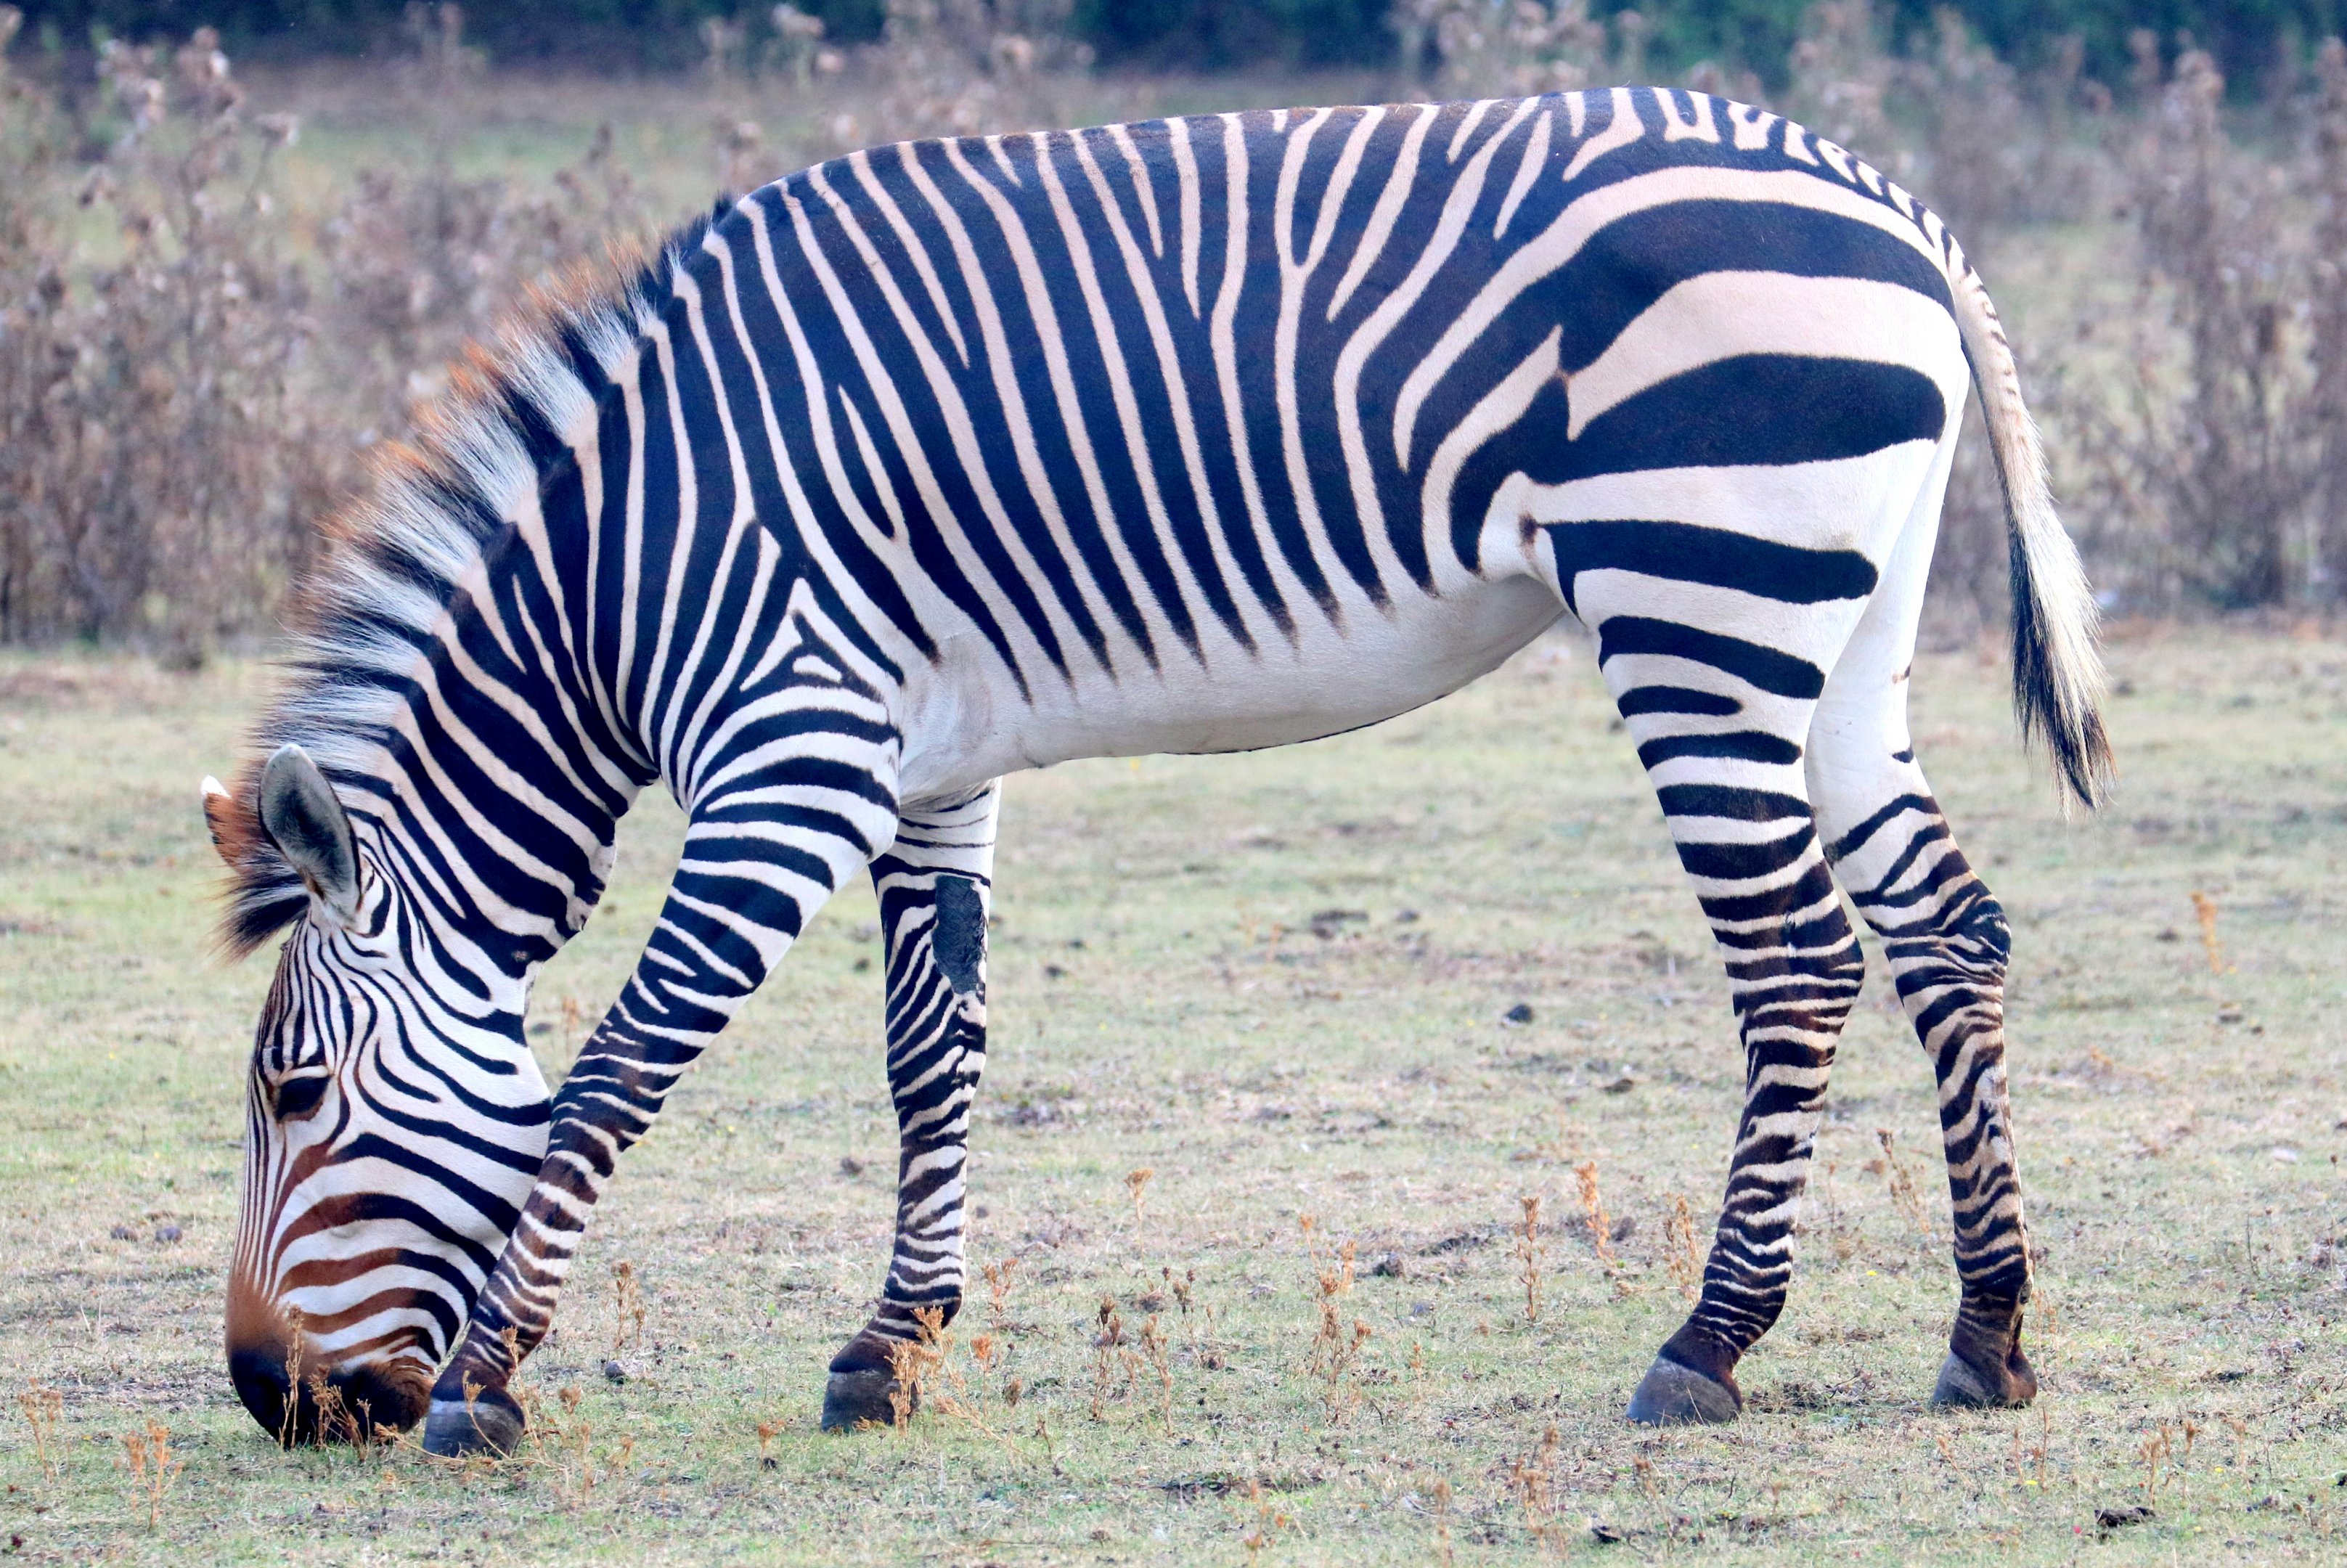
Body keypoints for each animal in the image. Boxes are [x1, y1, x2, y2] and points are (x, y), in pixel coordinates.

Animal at [198, 87, 2108, 1455]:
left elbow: (616, 1066)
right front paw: (890, 1347)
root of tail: (1894, 210)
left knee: (1795, 960)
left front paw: (487, 1380)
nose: (271, 1403)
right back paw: (1986, 1333)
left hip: (1693, 599)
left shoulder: (789, 759)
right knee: (1946, 930)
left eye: (291, 1094)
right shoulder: (924, 765)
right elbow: (930, 1053)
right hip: (1836, 633)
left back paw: (1704, 1342)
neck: (627, 570)